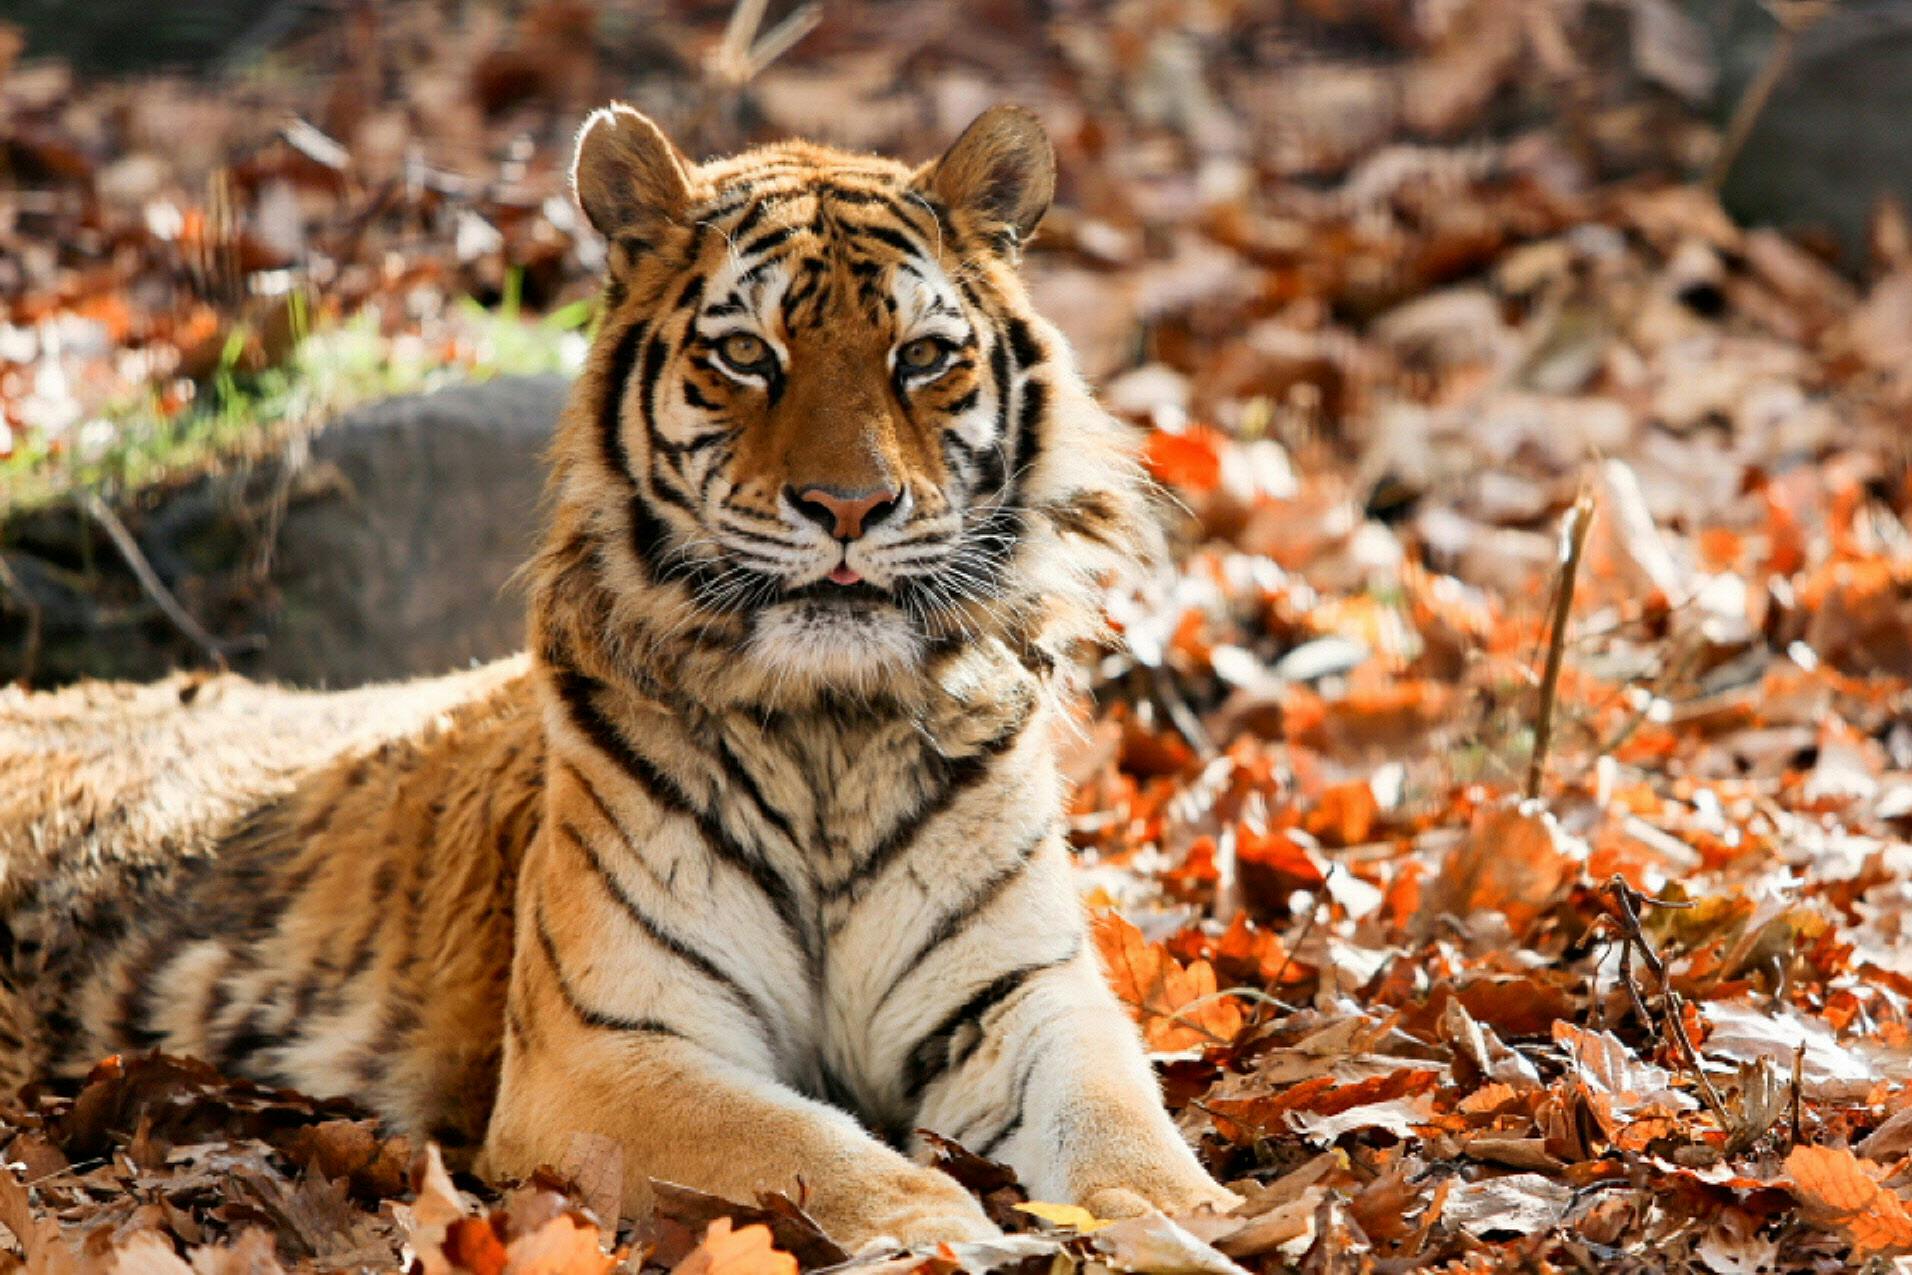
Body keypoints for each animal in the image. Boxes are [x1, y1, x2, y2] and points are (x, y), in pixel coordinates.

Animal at [0, 107, 1238, 1246]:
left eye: (921, 358)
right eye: (747, 355)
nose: (847, 508)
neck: (830, 732)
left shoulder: (1028, 997)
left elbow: (1117, 1120)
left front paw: (1192, 1221)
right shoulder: (606, 1049)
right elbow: (804, 1144)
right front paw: (943, 1229)